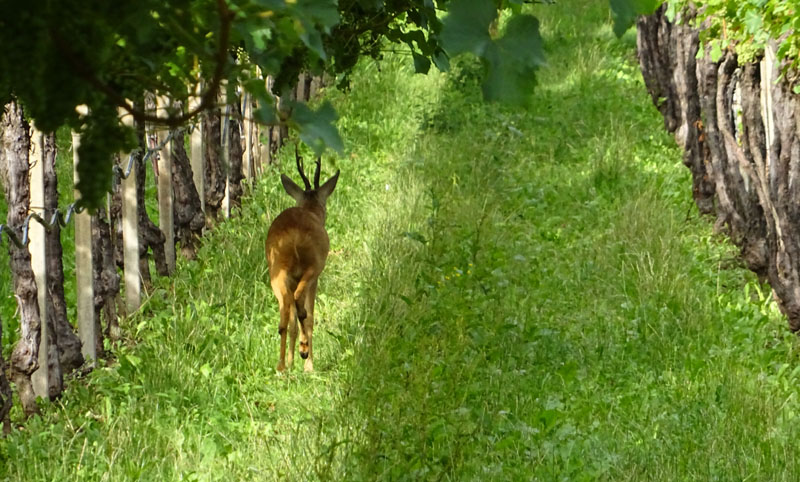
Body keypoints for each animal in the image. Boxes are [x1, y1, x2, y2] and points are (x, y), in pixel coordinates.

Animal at [264, 151, 336, 372]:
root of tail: (293, 236)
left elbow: (293, 322)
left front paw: (291, 361)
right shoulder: (315, 278)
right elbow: (309, 316)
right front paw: (307, 363)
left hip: (276, 273)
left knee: (284, 317)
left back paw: (281, 366)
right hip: (313, 266)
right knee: (301, 307)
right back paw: (304, 354)